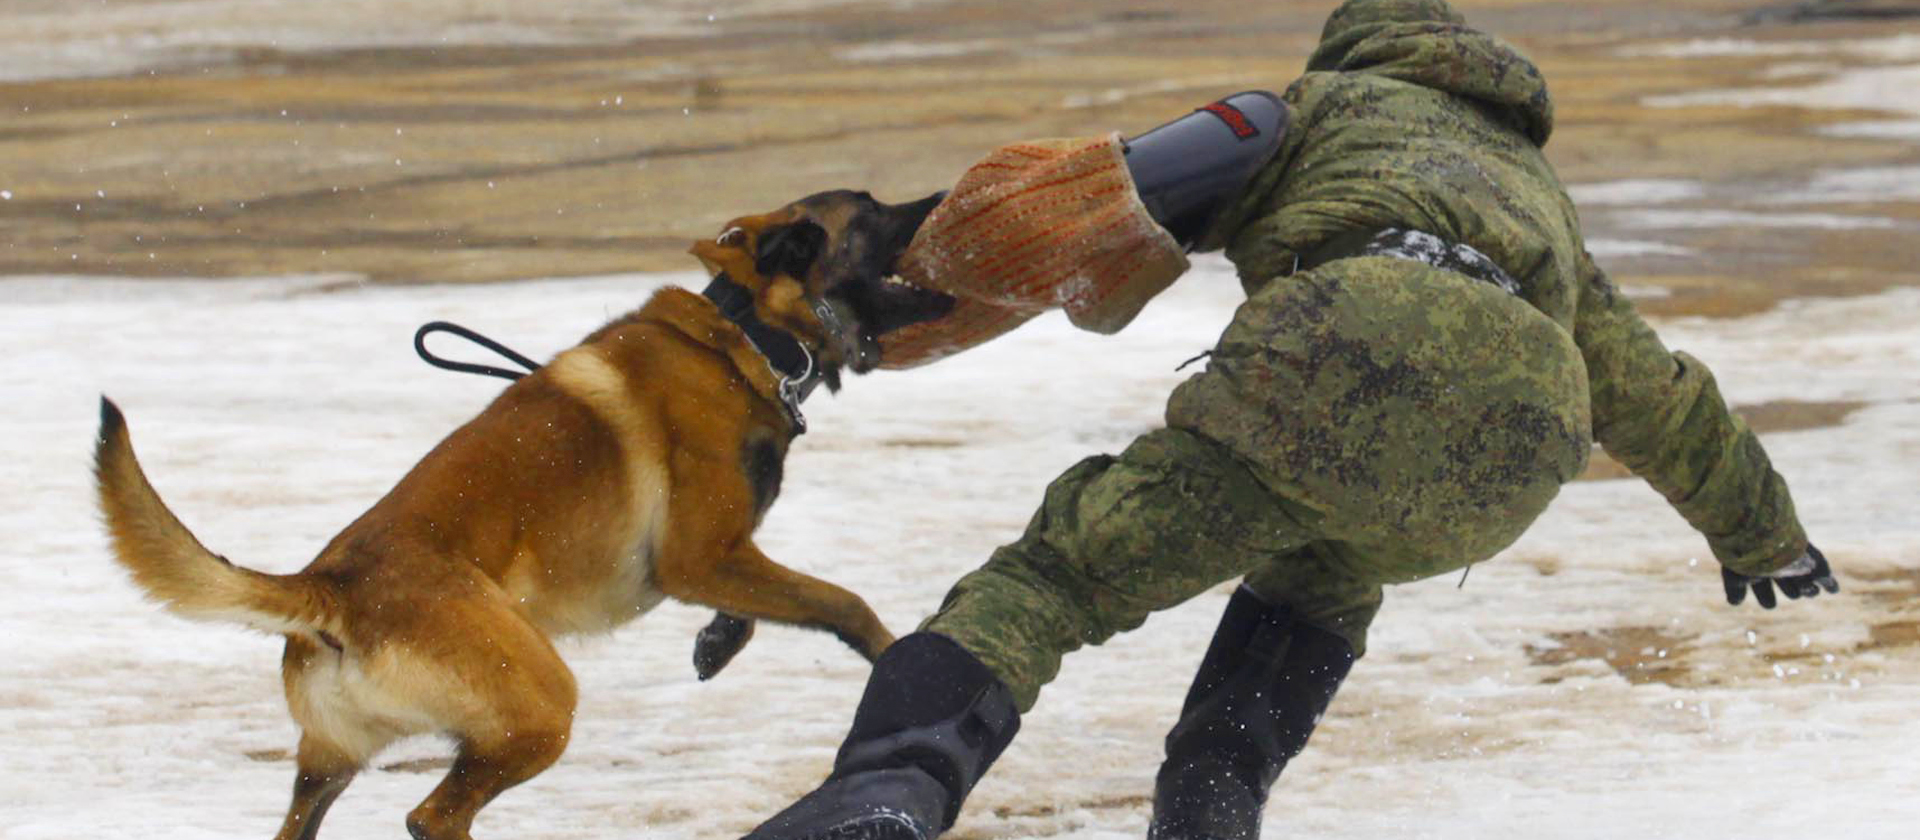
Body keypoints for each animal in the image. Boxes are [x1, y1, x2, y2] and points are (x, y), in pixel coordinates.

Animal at [91, 188, 960, 840]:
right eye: (872, 211)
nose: (942, 196)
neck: (748, 337)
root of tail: (329, 589)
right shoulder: (701, 554)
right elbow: (841, 602)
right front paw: (896, 656)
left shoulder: (716, 561)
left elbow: (757, 606)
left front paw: (717, 642)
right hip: (542, 707)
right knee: (432, 816)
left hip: (330, 765)